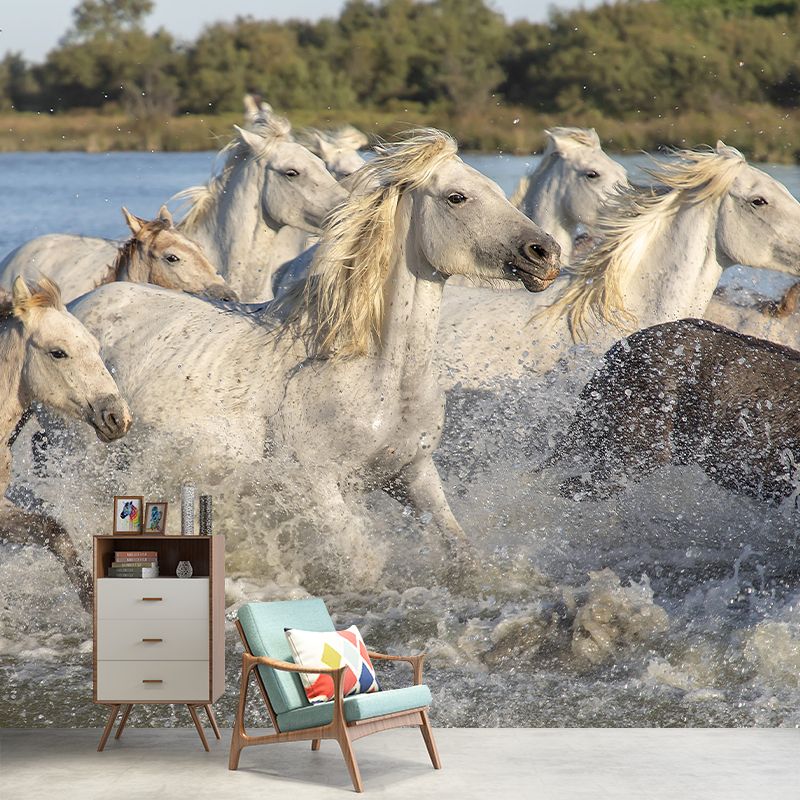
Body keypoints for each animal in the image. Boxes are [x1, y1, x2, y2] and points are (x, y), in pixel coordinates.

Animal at [68, 129, 560, 587]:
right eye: (457, 197)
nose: (546, 253)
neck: (376, 375)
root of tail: (78, 304)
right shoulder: (317, 485)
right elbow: (363, 565)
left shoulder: (413, 472)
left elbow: (461, 550)